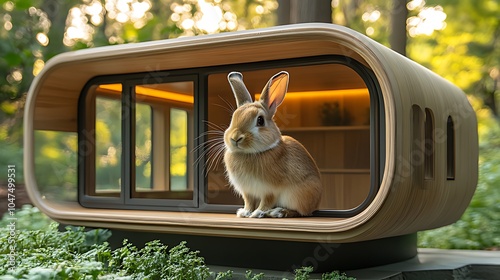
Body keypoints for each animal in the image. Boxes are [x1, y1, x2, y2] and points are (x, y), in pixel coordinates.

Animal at [224, 71, 324, 218]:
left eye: (260, 120)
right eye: (233, 118)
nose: (235, 138)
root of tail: (316, 204)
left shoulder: (270, 190)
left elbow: (266, 201)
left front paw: (257, 213)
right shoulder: (247, 191)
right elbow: (249, 201)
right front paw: (245, 212)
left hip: (298, 195)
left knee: (300, 212)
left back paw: (279, 212)